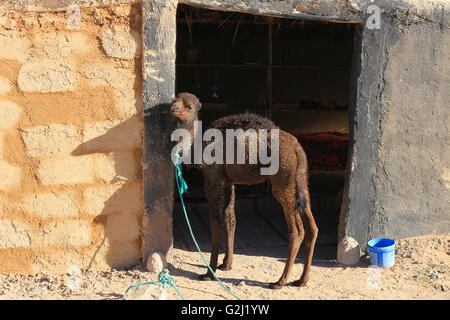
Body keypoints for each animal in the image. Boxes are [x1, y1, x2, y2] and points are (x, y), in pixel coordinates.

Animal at [171, 92, 318, 290]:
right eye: (175, 100)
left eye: (189, 107)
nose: (173, 108)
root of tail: (296, 148)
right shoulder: (228, 181)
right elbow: (230, 220)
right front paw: (226, 265)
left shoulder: (213, 178)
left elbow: (216, 224)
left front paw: (209, 273)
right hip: (301, 180)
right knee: (311, 226)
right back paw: (302, 280)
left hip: (283, 181)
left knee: (296, 231)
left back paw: (279, 281)